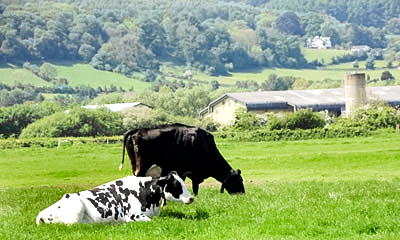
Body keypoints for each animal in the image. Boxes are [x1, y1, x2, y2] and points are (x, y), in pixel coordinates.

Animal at [36, 172, 193, 224]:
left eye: (183, 181)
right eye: (176, 185)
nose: (191, 198)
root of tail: (41, 213)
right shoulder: (133, 215)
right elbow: (150, 221)